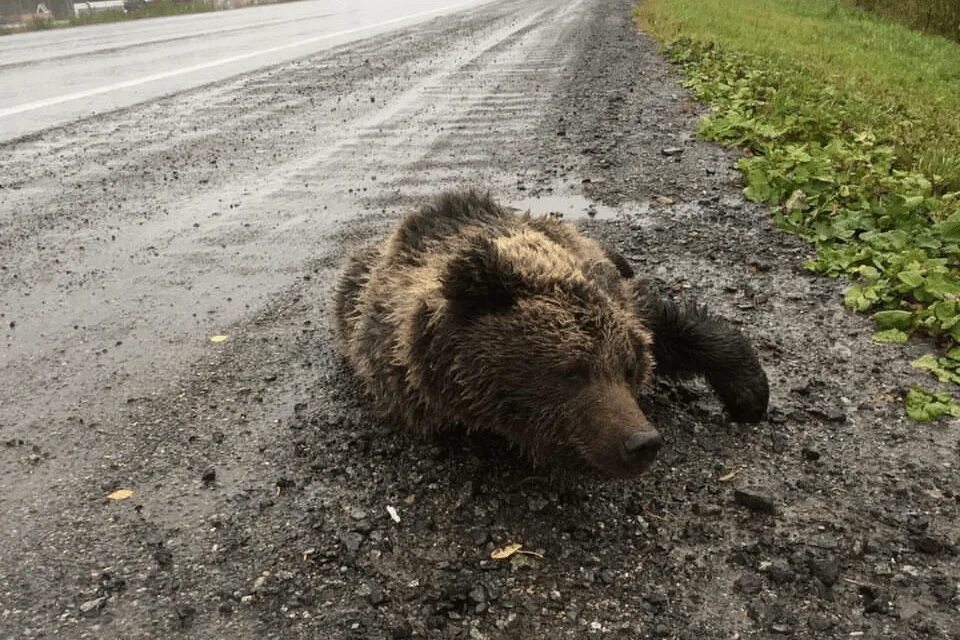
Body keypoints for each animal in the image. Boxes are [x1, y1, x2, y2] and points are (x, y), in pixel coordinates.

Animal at [334, 189, 768, 476]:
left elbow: (674, 327)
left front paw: (749, 395)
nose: (641, 442)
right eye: (572, 371)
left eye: (627, 369)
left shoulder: (616, 296)